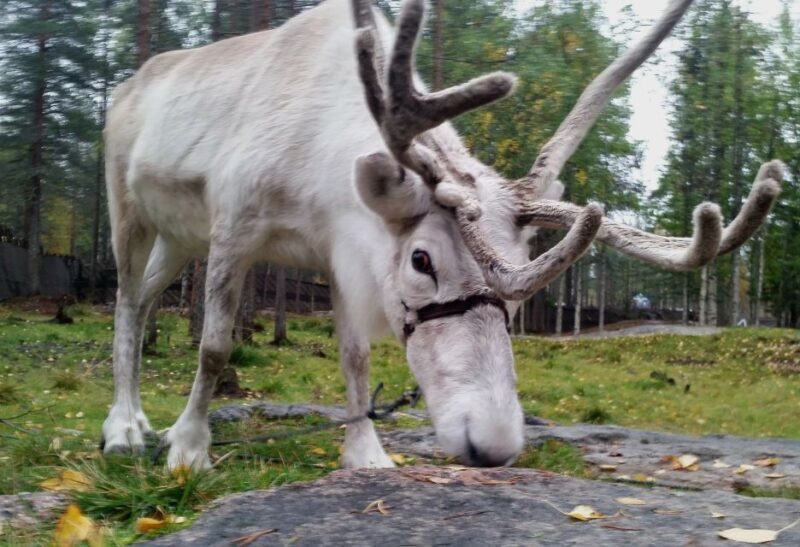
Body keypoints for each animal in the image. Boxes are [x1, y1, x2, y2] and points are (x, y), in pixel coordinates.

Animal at [101, 0, 782, 470]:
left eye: (520, 294)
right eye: (422, 260)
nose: (495, 445)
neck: (316, 171)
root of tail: (127, 83)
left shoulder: (341, 253)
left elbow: (354, 356)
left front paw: (367, 455)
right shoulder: (235, 224)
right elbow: (215, 346)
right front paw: (189, 449)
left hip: (180, 237)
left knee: (148, 297)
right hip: (128, 205)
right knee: (127, 300)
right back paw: (125, 428)